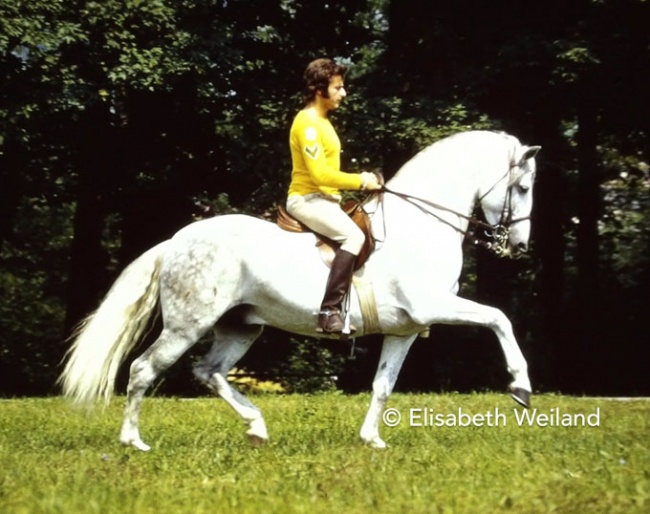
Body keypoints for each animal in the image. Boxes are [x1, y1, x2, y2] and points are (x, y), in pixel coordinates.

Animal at [59, 129, 536, 448]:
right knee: (144, 370)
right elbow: (500, 318)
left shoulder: (405, 329)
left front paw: (371, 440)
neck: (421, 224)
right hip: (186, 326)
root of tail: (176, 241)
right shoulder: (434, 305)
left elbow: (383, 384)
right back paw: (133, 442)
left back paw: (256, 427)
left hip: (241, 327)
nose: (519, 246)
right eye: (524, 187)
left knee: (209, 372)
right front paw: (521, 387)